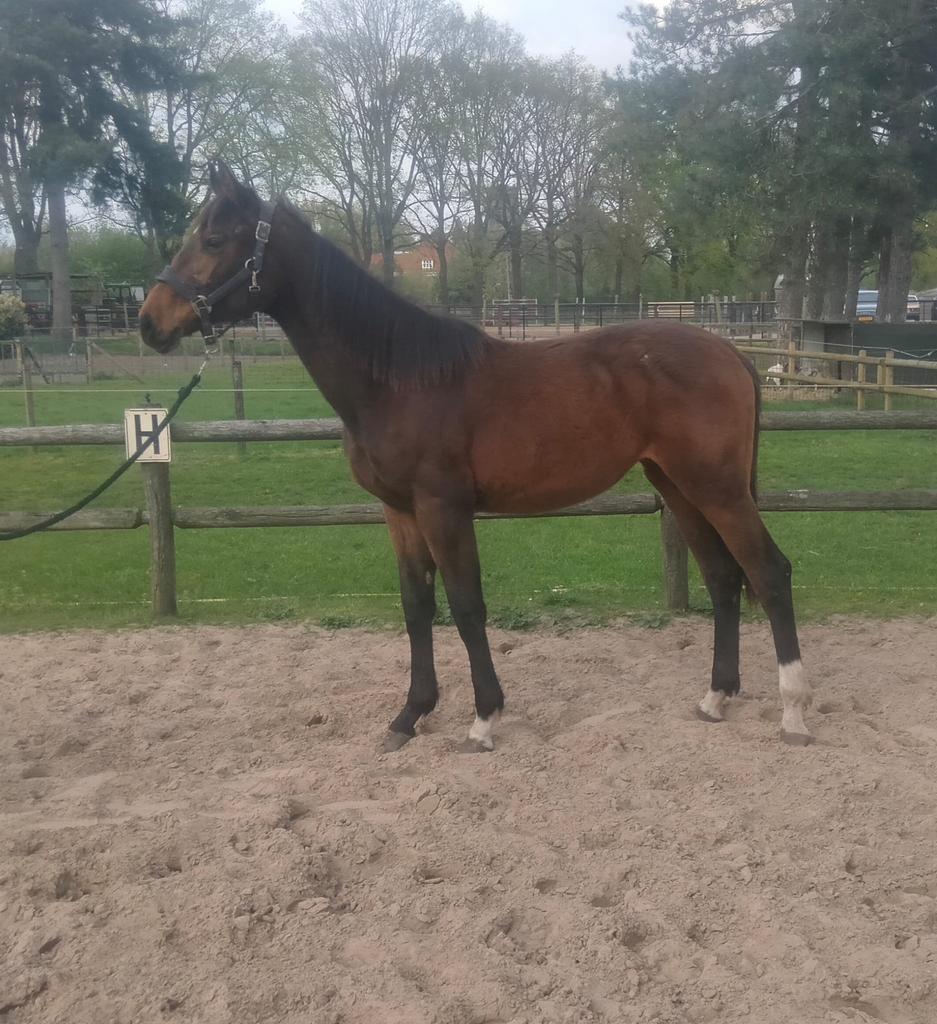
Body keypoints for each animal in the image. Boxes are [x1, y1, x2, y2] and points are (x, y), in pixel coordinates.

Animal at [139, 161, 814, 752]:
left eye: (214, 238)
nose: (150, 322)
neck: (398, 379)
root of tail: (732, 354)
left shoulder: (444, 509)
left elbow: (466, 606)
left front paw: (483, 720)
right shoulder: (400, 512)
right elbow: (417, 607)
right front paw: (409, 716)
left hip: (717, 488)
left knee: (770, 572)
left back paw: (794, 712)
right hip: (678, 485)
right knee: (724, 577)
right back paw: (716, 697)